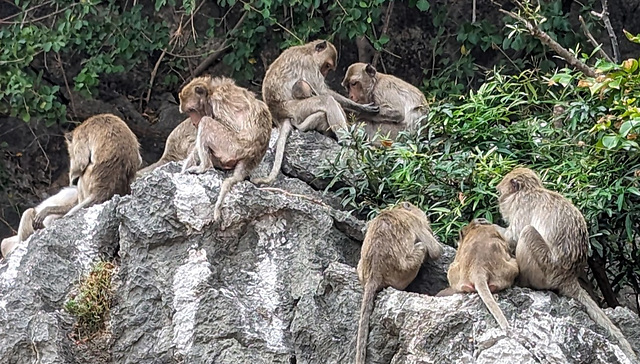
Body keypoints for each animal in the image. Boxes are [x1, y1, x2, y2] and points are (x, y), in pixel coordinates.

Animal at [178, 76, 272, 222]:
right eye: (188, 112)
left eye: (192, 110)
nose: (193, 122)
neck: (211, 91)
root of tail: (251, 157)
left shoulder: (218, 103)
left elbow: (228, 125)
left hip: (231, 148)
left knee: (206, 122)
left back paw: (204, 167)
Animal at [255, 40, 380, 185]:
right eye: (327, 65)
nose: (324, 73)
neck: (306, 51)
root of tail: (279, 117)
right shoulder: (309, 64)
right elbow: (322, 91)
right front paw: (360, 106)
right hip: (296, 109)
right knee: (327, 101)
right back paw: (348, 142)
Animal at [356, 200, 444, 364]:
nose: (429, 222)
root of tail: (373, 275)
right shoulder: (416, 222)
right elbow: (435, 251)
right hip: (404, 272)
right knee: (422, 246)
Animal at [500, 168, 640, 362]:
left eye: (501, 191)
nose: (499, 198)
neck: (530, 190)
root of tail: (568, 277)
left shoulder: (522, 206)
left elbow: (513, 236)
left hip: (545, 268)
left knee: (527, 232)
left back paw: (522, 281)